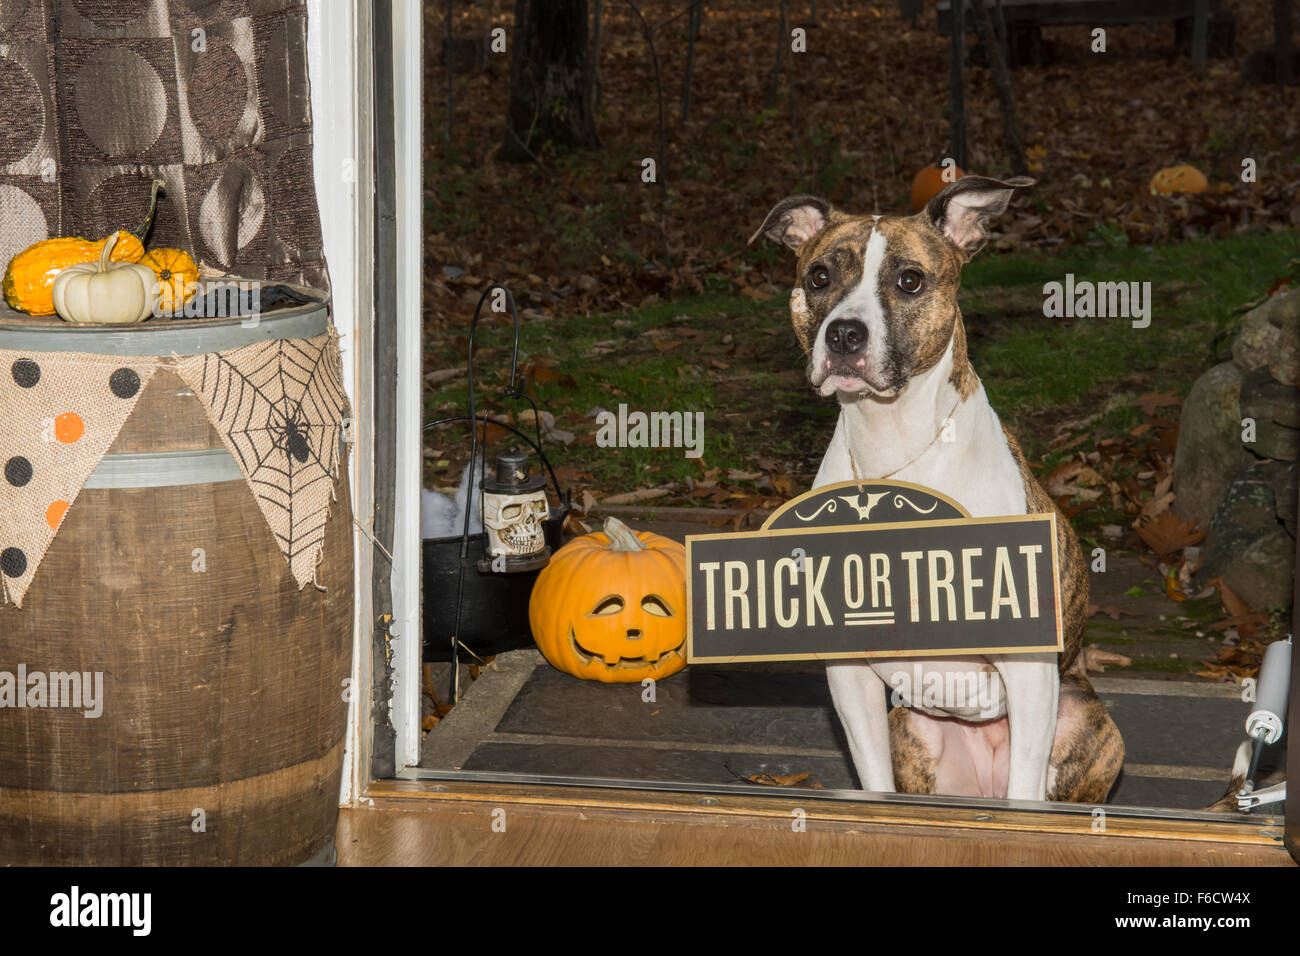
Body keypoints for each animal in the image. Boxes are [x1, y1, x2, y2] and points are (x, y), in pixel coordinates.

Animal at [759, 175, 1123, 806]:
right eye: (819, 277)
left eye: (910, 280)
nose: (844, 334)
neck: (892, 446)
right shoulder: (850, 677)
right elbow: (874, 782)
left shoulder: (1030, 672)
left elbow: (1026, 795)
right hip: (912, 725)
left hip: (1083, 719)